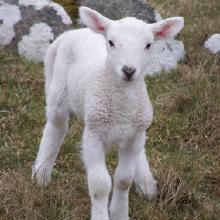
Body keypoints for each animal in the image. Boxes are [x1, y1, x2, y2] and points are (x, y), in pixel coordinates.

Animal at [32, 6, 184, 220]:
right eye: (111, 42)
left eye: (148, 45)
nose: (129, 70)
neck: (121, 109)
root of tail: (74, 32)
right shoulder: (94, 134)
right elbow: (100, 186)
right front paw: (102, 214)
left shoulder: (134, 136)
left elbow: (124, 179)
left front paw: (120, 213)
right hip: (58, 91)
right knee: (56, 127)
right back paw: (41, 174)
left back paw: (146, 184)